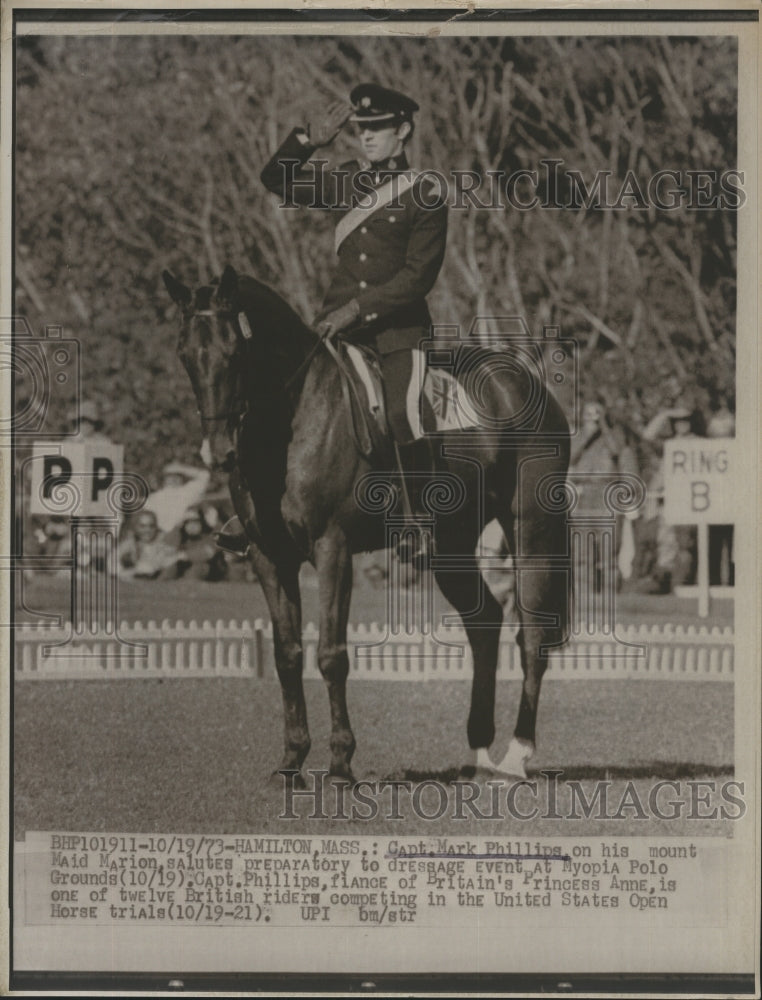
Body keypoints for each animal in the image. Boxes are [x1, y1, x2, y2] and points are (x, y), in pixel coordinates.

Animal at [163, 266, 568, 780]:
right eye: (184, 354)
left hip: (531, 531)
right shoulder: (269, 557)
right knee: (484, 624)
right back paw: (479, 753)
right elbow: (287, 655)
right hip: (451, 545)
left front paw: (340, 761)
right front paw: (291, 760)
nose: (218, 453)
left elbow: (331, 655)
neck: (294, 417)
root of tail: (524, 382)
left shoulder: (332, 549)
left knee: (531, 633)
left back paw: (517, 754)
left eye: (235, 351)